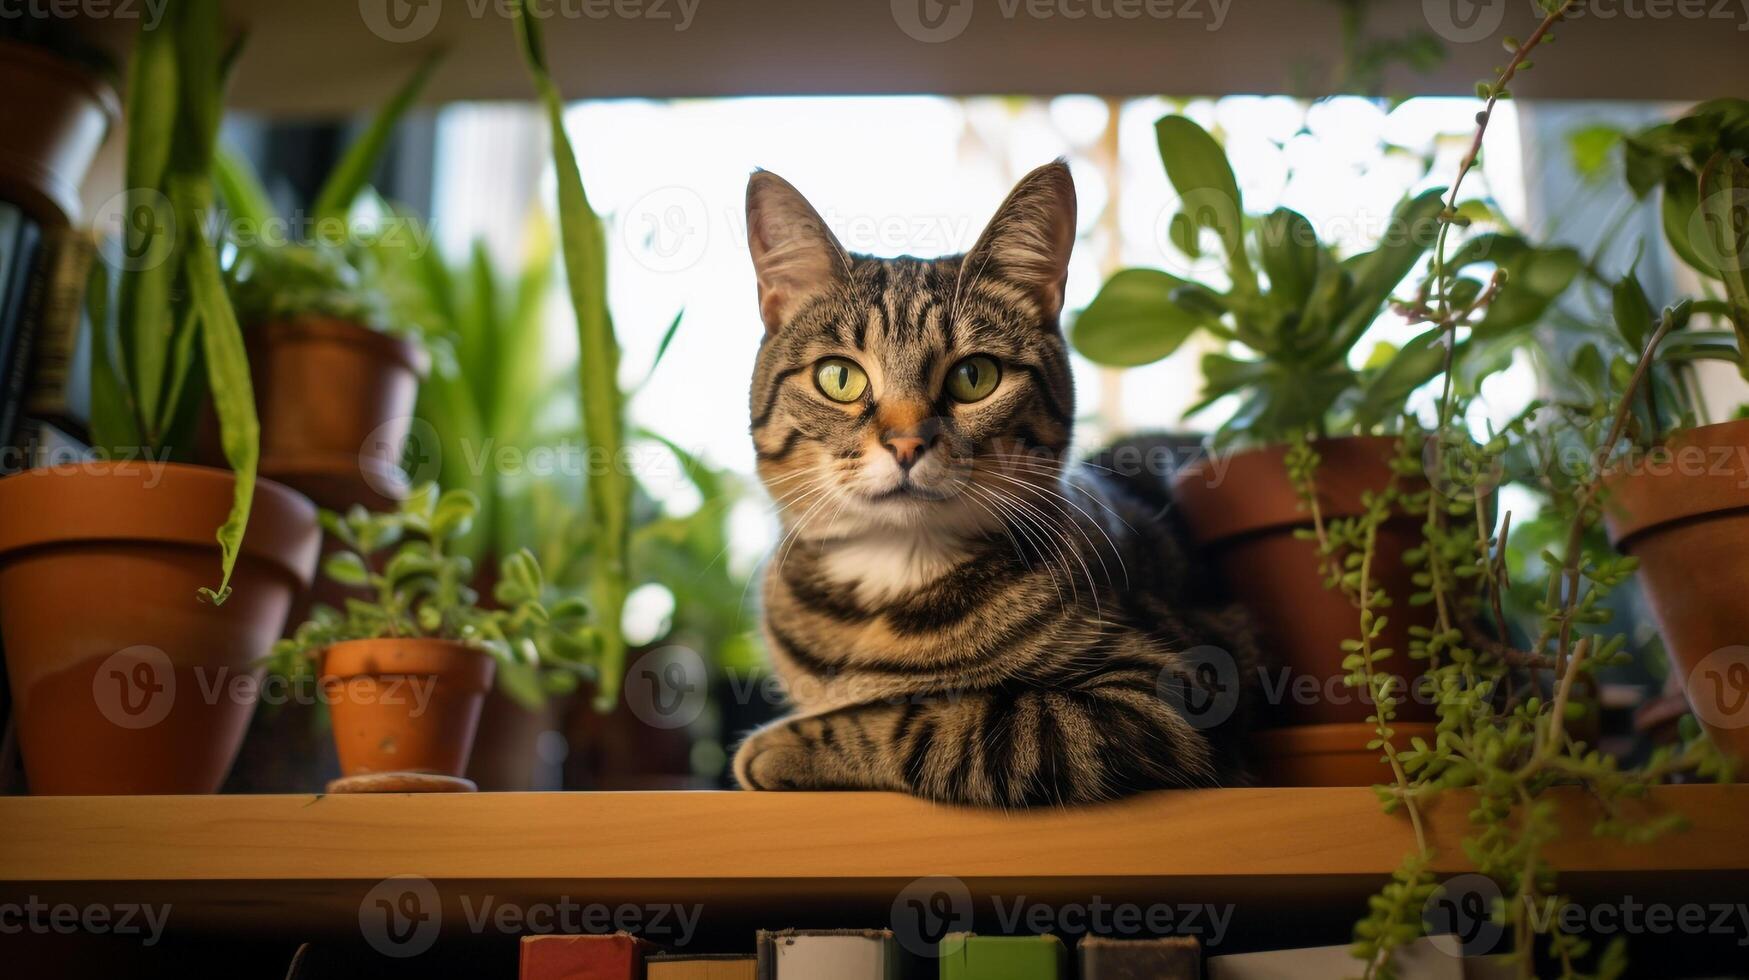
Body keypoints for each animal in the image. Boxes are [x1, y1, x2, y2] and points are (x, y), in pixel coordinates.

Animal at [734, 161, 1259, 805]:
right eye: (839, 377)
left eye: (974, 376)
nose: (906, 444)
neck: (895, 570)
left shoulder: (1170, 692)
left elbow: (942, 721)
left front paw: (782, 744)